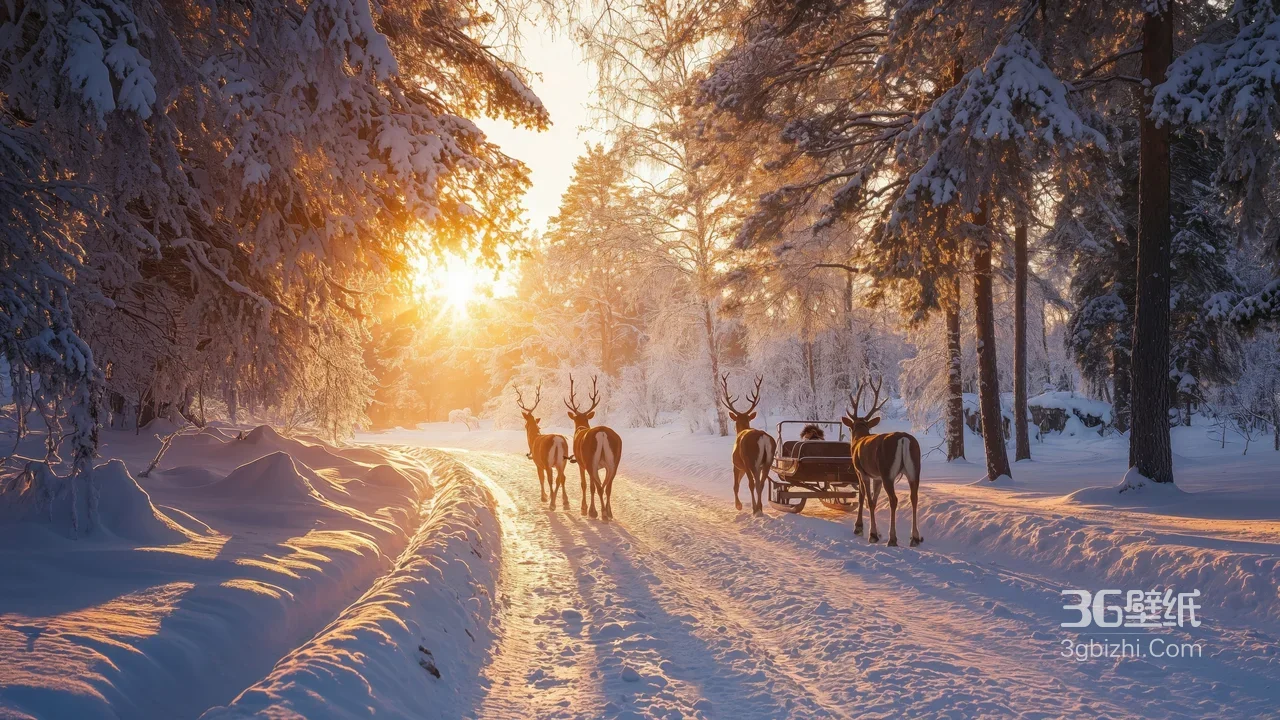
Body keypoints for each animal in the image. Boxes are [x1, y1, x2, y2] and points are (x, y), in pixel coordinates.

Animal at [565, 375, 622, 520]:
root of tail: (602, 432)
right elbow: (594, 485)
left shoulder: (581, 463)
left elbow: (585, 484)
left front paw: (585, 509)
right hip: (614, 460)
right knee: (607, 486)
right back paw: (608, 512)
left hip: (591, 460)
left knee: (599, 487)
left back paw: (601, 514)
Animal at [720, 373, 776, 515]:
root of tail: (762, 437)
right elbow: (757, 483)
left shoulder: (737, 465)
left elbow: (736, 485)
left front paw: (738, 505)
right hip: (768, 460)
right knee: (761, 483)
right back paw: (759, 507)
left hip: (749, 460)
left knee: (751, 483)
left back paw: (755, 509)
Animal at [842, 377, 923, 547]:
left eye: (850, 428)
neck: (859, 440)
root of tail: (903, 439)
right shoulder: (877, 477)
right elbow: (874, 499)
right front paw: (874, 531)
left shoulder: (862, 471)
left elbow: (865, 498)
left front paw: (866, 530)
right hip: (914, 469)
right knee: (914, 497)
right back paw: (915, 537)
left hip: (888, 472)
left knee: (894, 499)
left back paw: (892, 538)